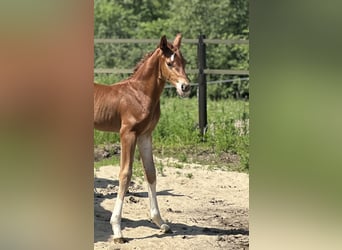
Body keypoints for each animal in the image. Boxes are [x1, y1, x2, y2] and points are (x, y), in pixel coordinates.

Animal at [93, 33, 190, 242]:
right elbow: (125, 174)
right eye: (170, 63)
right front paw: (117, 229)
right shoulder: (127, 133)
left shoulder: (146, 135)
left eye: (184, 62)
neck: (140, 93)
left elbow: (151, 172)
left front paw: (160, 222)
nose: (185, 87)